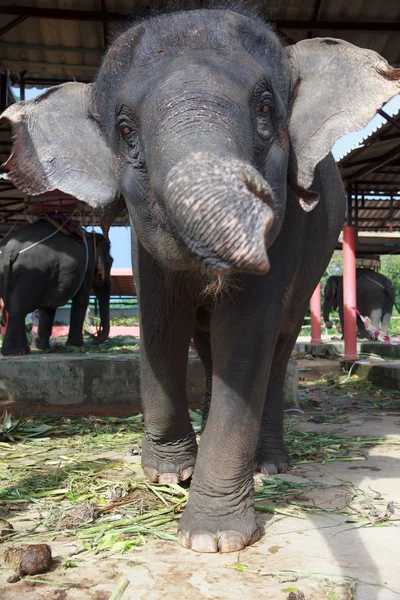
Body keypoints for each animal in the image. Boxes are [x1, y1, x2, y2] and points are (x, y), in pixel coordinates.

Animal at [0, 218, 113, 354]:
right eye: (111, 261)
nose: (96, 339)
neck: (91, 235)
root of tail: (10, 250)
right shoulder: (88, 267)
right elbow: (81, 299)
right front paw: (77, 346)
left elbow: (49, 307)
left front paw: (40, 348)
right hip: (30, 274)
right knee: (18, 307)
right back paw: (15, 352)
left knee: (15, 307)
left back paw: (23, 351)